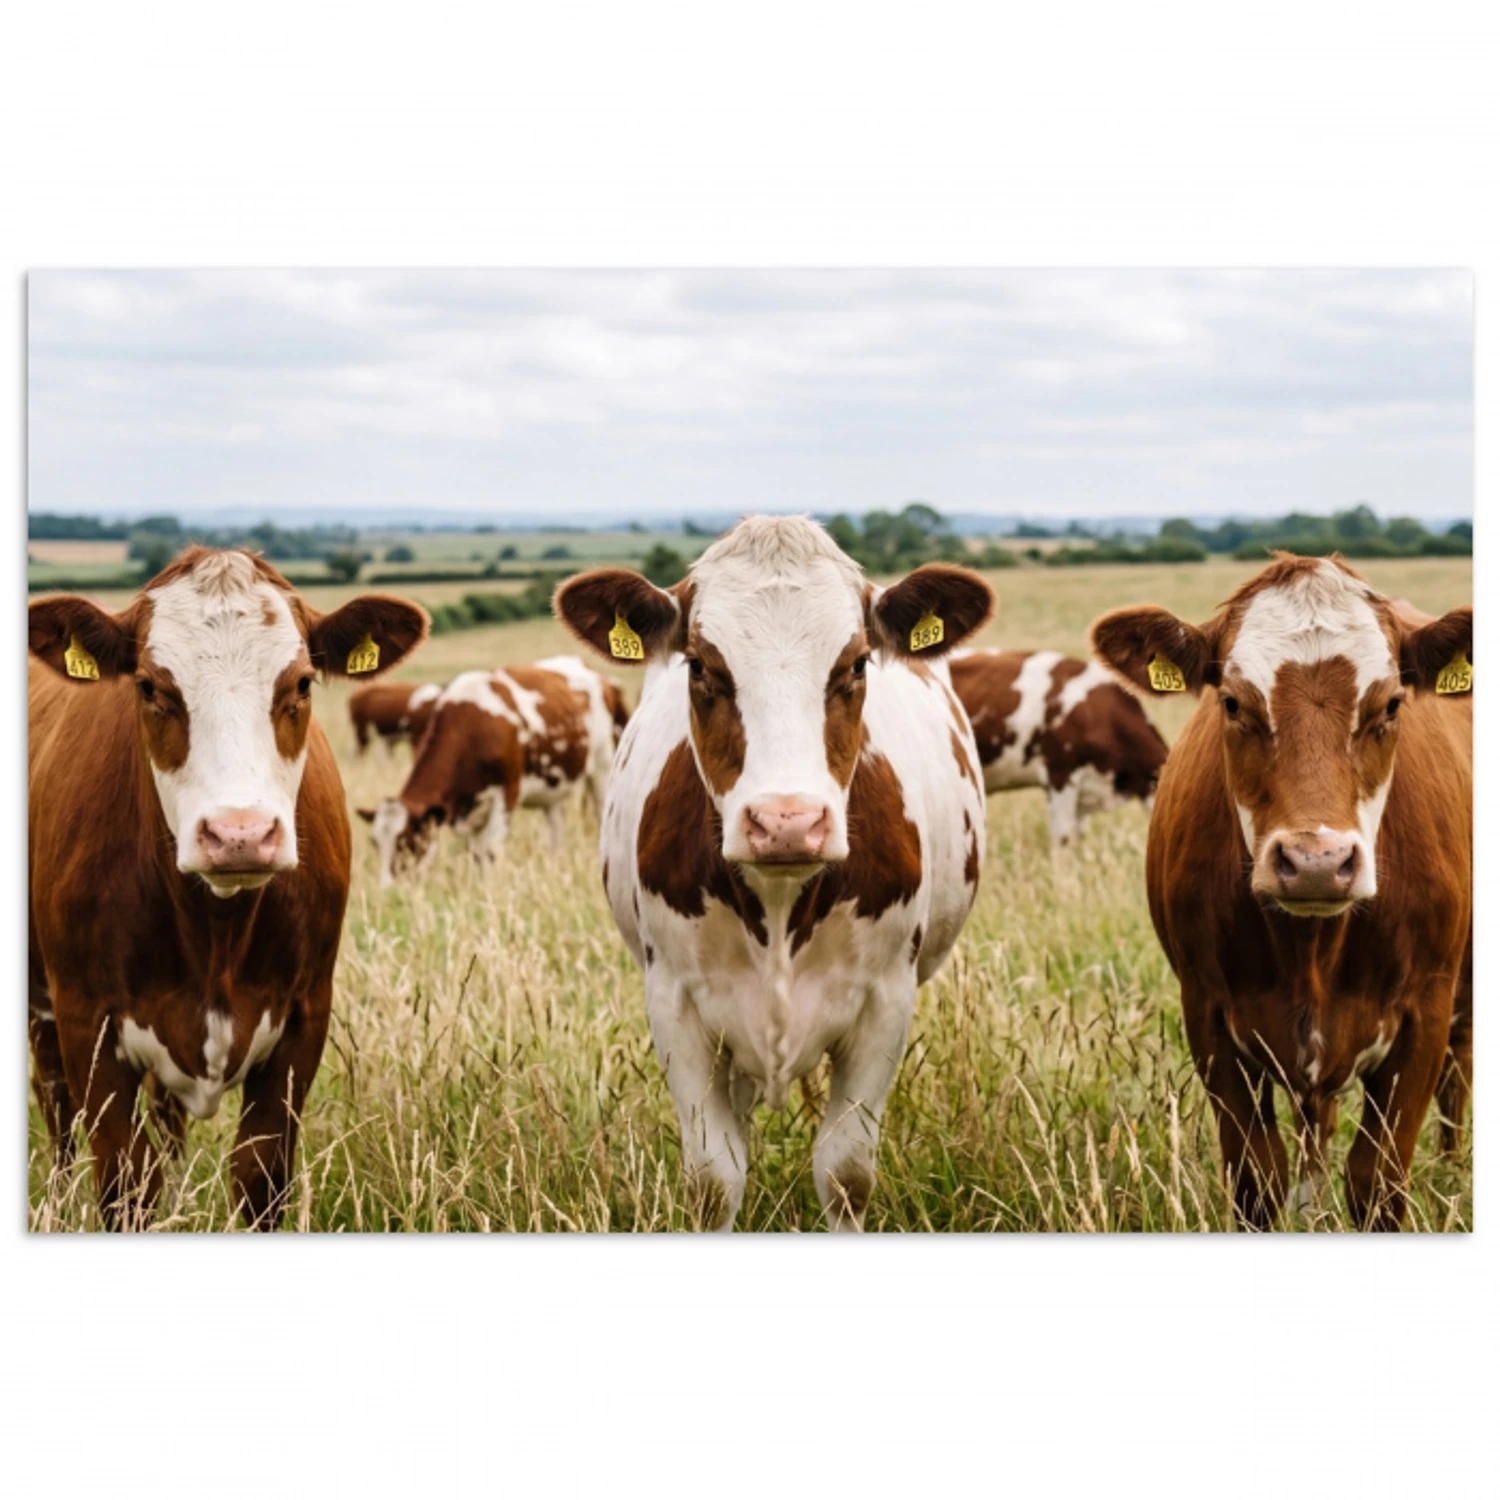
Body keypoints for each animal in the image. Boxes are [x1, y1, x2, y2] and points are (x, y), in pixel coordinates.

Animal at [28, 547, 428, 1229]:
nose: (239, 834)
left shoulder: (304, 1019)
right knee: (56, 1110)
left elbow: (259, 1174)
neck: (214, 931)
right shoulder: (87, 1023)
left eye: (301, 683)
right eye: (149, 687)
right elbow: (124, 1180)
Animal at [359, 659, 619, 885]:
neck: (470, 727)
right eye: (375, 843)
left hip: (603, 766)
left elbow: (490, 849)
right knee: (556, 829)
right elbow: (476, 852)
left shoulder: (507, 793)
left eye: (407, 842)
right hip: (553, 785)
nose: (388, 890)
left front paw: (491, 888)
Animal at [554, 515, 994, 1231]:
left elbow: (845, 1172)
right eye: (701, 666)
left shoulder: (886, 1001)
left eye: (857, 663)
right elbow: (714, 1179)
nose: (788, 821)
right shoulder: (675, 1003)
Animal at [1091, 554, 1472, 1230]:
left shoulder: (1424, 1016)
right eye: (1232, 702)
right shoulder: (1209, 1018)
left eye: (1391, 704)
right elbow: (1257, 1178)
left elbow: (1377, 1182)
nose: (1317, 863)